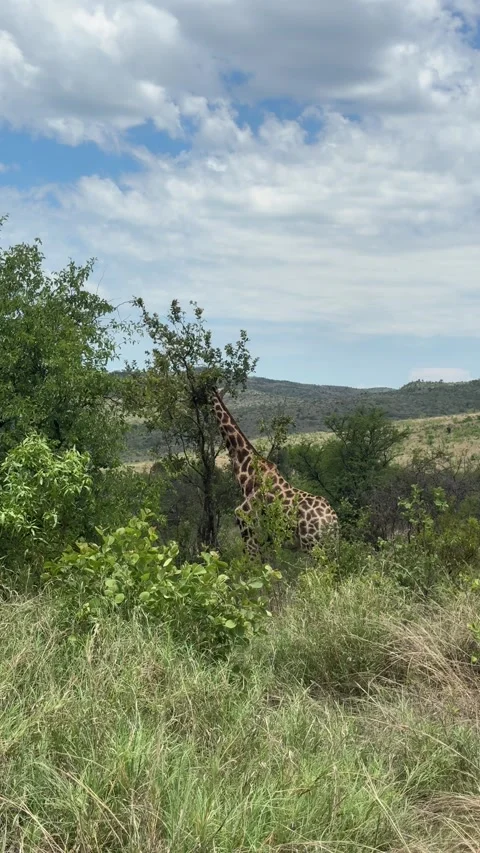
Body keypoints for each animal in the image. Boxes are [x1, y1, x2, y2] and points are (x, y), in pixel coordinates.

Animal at [211, 389, 338, 555]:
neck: (247, 472)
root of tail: (333, 520)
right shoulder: (266, 541)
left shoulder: (248, 531)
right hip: (328, 546)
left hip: (313, 545)